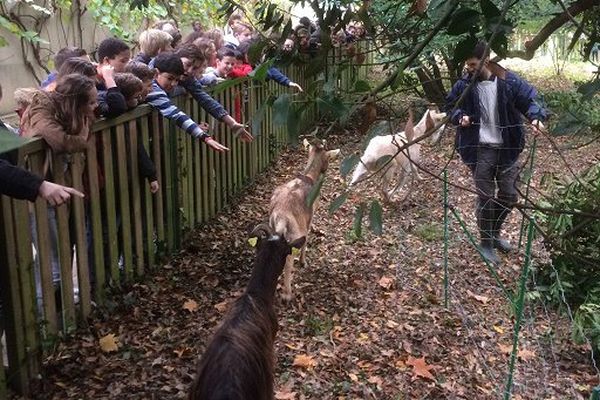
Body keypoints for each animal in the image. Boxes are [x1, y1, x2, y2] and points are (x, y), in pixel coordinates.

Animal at [270, 139, 340, 302]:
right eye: (328, 157)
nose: (325, 170)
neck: (309, 176)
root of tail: (280, 217)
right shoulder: (309, 218)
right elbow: (307, 237)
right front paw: (303, 262)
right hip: (293, 235)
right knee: (288, 261)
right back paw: (287, 294)